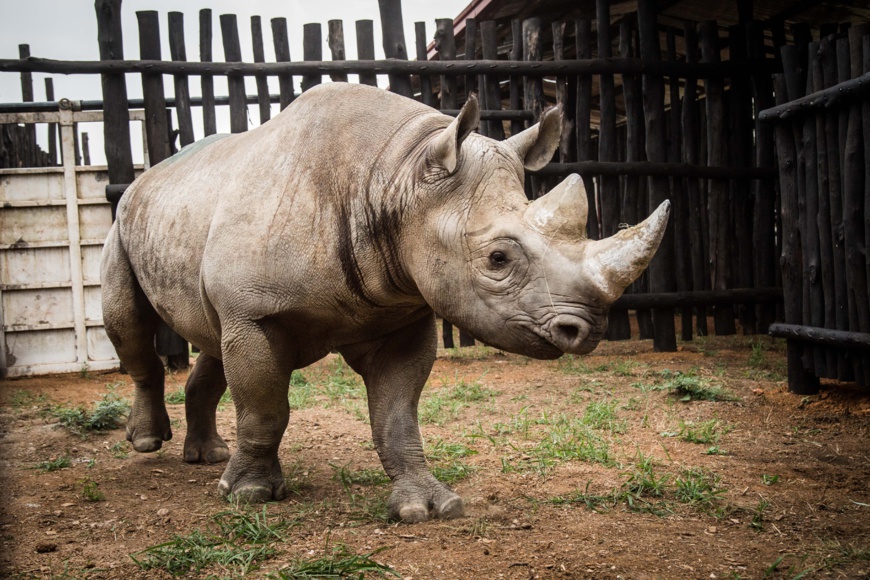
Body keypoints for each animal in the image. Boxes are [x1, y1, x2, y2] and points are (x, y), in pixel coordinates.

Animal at [101, 82, 669, 523]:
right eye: (498, 258)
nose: (588, 329)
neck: (396, 175)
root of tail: (146, 175)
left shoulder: (400, 312)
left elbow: (397, 416)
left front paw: (427, 507)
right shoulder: (256, 311)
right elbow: (264, 407)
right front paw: (250, 495)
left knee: (212, 338)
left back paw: (207, 455)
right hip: (124, 220)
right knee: (128, 325)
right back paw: (149, 444)